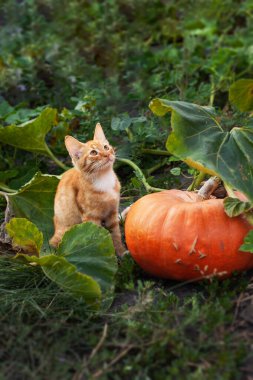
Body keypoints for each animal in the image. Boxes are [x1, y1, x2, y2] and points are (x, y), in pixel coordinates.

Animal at [49, 123, 125, 256]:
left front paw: (121, 252)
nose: (107, 154)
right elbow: (96, 235)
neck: (104, 180)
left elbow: (116, 234)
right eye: (93, 152)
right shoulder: (90, 217)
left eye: (106, 147)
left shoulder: (112, 212)